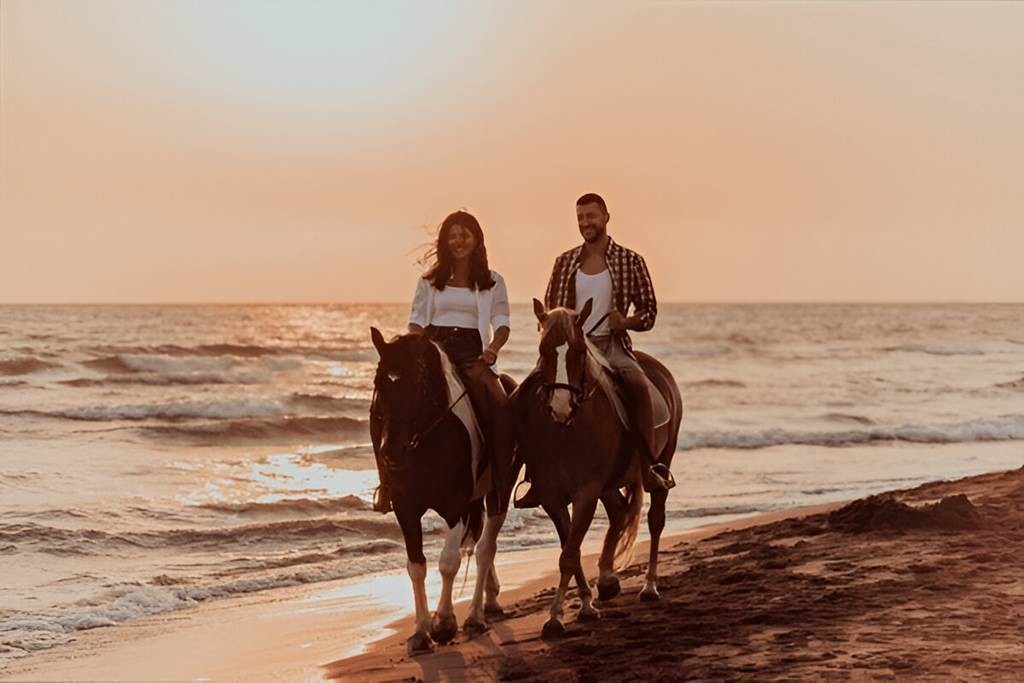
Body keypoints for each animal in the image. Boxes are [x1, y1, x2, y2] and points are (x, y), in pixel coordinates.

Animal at [369, 328, 514, 655]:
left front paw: (444, 624)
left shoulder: (456, 507)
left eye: (417, 386)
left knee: (485, 549)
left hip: (498, 494)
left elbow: (449, 562)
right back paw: (491, 599)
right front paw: (420, 633)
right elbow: (416, 567)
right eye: (378, 383)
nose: (391, 453)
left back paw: (475, 616)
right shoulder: (406, 509)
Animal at [510, 299, 683, 637]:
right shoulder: (551, 497)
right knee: (618, 512)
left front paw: (556, 617)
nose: (561, 406)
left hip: (662, 460)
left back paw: (649, 586)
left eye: (579, 351)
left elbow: (568, 554)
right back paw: (606, 580)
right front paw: (585, 605)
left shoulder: (586, 493)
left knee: (655, 520)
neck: (565, 431)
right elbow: (571, 550)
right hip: (610, 484)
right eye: (543, 349)